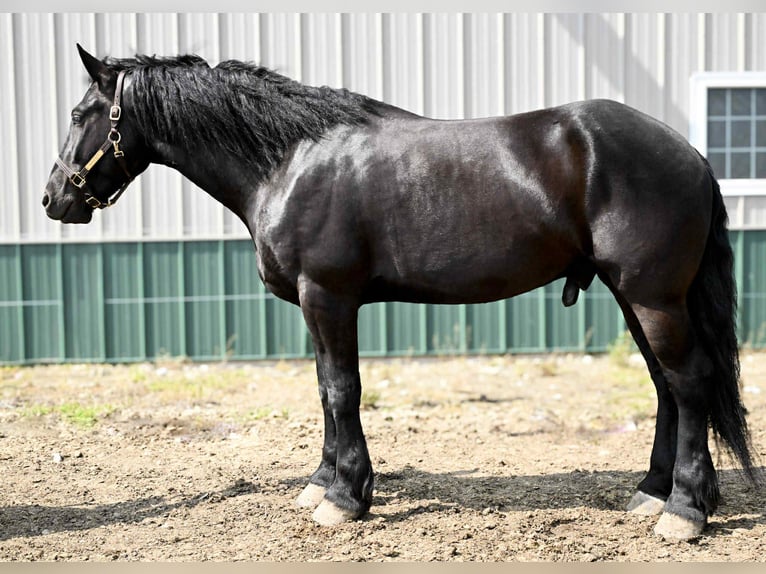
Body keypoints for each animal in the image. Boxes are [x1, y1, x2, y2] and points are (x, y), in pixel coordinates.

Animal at [43, 44, 757, 541]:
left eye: (80, 115)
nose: (53, 199)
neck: (289, 159)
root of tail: (690, 154)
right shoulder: (317, 306)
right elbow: (324, 392)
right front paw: (322, 483)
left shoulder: (328, 297)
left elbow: (342, 390)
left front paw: (345, 498)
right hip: (635, 296)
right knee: (667, 388)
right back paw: (652, 492)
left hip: (653, 297)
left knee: (689, 382)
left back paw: (685, 510)